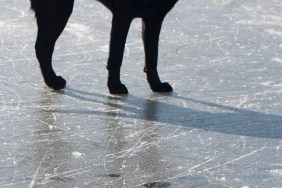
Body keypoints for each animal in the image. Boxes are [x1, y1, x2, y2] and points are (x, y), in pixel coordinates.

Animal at [29, 0, 177, 94]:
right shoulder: (123, 15)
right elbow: (116, 56)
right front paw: (115, 87)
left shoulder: (155, 17)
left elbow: (152, 56)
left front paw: (156, 85)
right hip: (57, 9)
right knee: (43, 47)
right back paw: (52, 81)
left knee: (43, 47)